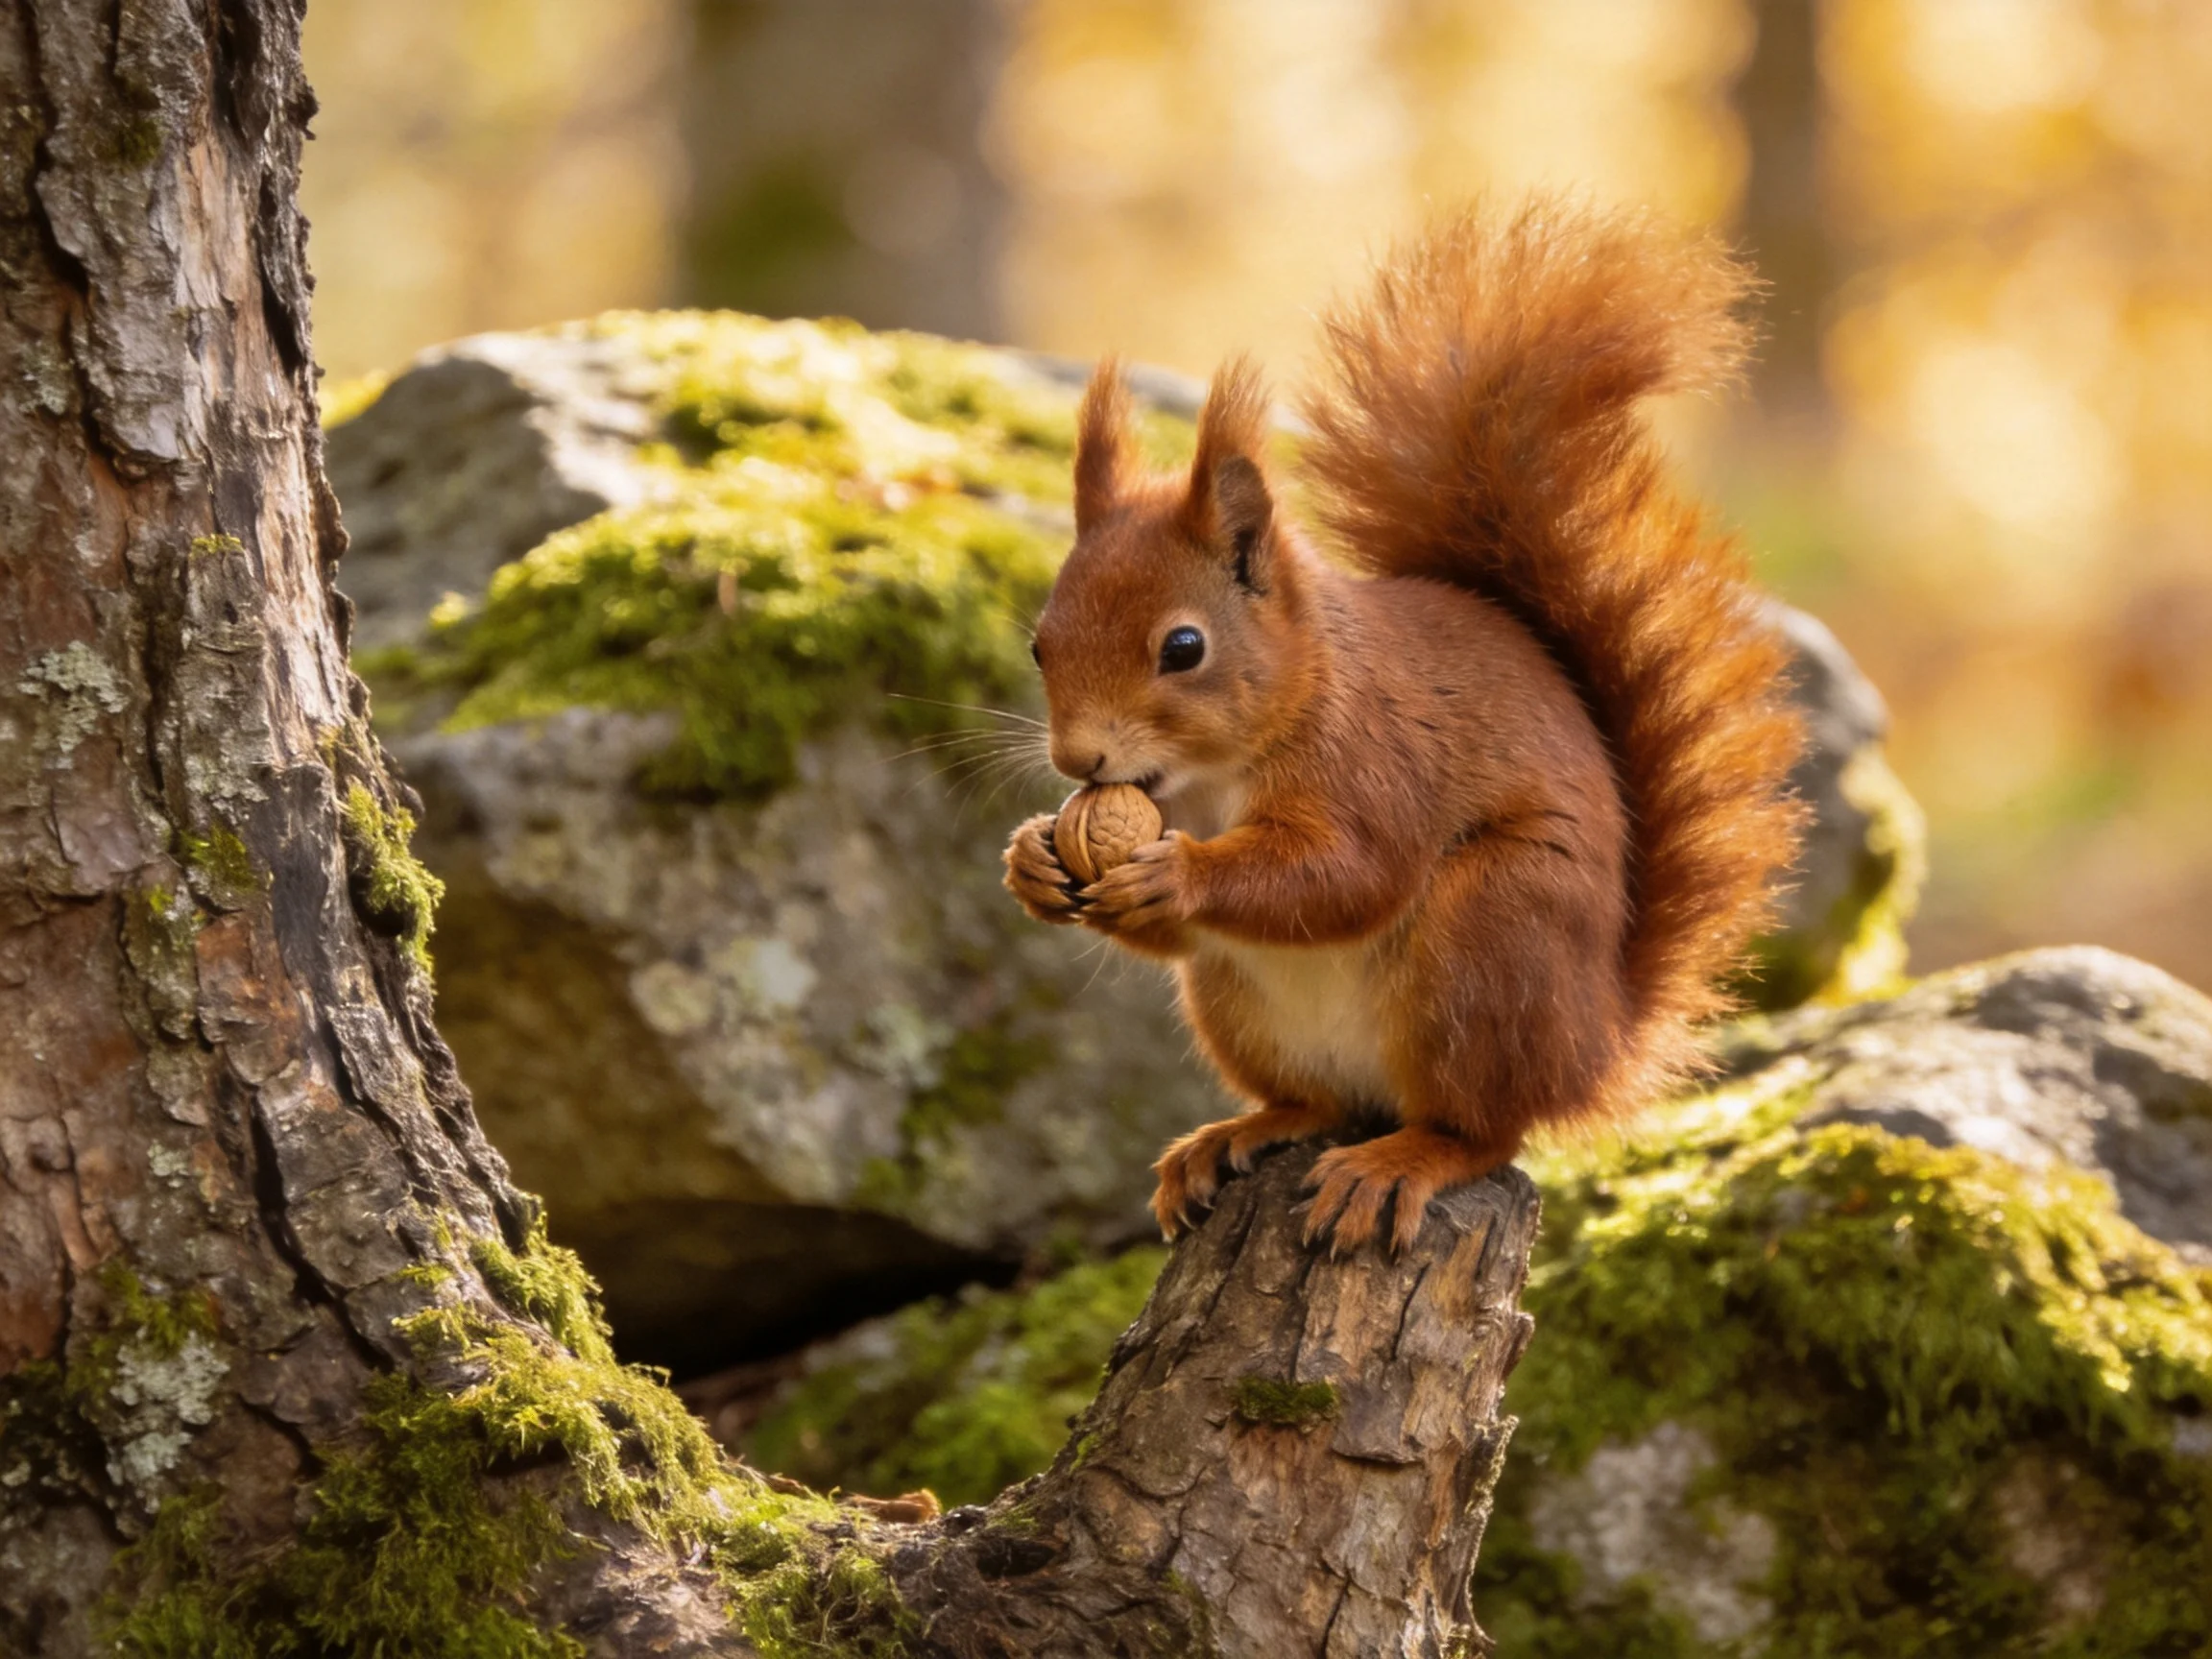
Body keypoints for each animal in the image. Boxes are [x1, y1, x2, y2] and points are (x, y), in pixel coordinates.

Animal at [1003, 198, 1805, 1253]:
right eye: (1039, 644)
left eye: (1183, 647)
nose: (1078, 758)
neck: (1216, 779)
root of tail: (1596, 1045)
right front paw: (1031, 861)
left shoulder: (1376, 760)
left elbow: (1352, 873)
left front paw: (1178, 875)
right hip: (1237, 1003)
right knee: (1320, 1102)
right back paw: (1240, 1132)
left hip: (1493, 938)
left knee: (1486, 1132)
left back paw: (1402, 1162)